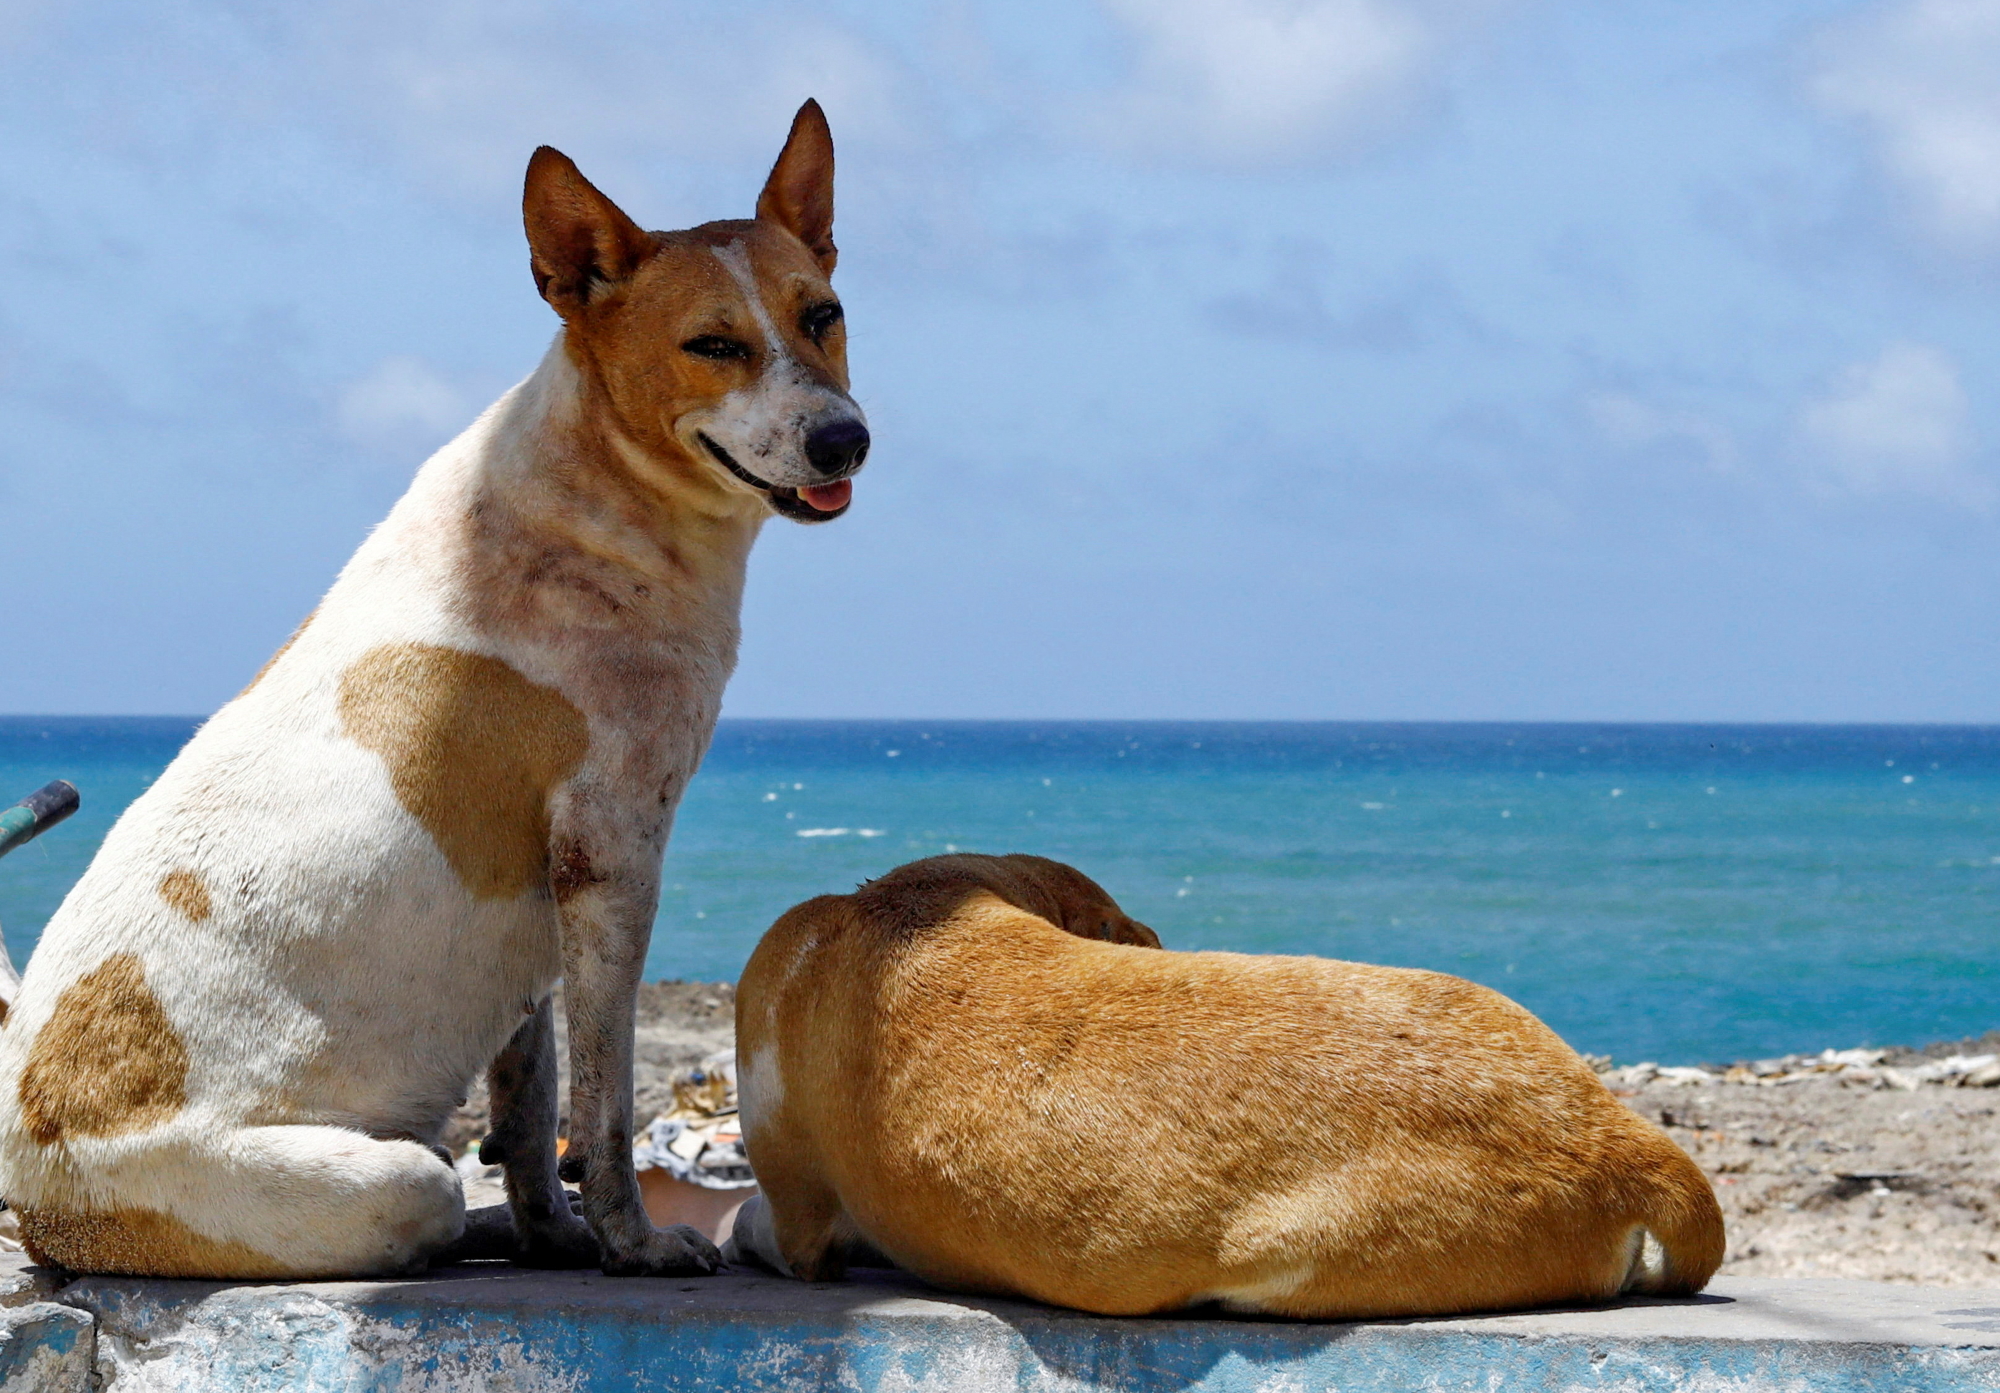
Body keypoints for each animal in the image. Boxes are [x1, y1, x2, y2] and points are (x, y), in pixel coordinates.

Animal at [0, 98, 868, 1280]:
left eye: (822, 315)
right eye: (713, 346)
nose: (845, 439)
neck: (600, 486)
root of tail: (35, 1189)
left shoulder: (539, 906)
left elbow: (533, 1095)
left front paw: (555, 1233)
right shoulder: (611, 858)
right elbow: (600, 1104)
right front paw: (632, 1240)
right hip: (390, 1179)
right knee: (434, 1196)